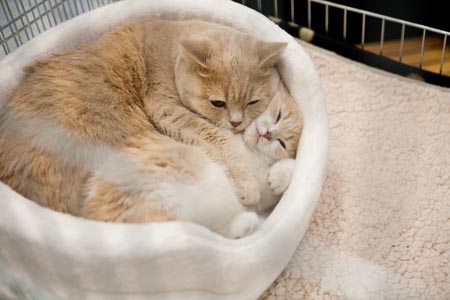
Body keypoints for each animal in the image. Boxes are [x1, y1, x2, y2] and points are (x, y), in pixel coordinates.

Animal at [0, 18, 286, 214]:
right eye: (218, 103)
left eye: (252, 102)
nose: (236, 122)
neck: (171, 53)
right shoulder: (168, 110)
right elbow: (219, 138)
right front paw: (248, 187)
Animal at [81, 83, 302, 238]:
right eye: (278, 115)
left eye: (281, 143)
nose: (267, 134)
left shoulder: (263, 196)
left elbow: (289, 167)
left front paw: (279, 177)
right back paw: (245, 223)